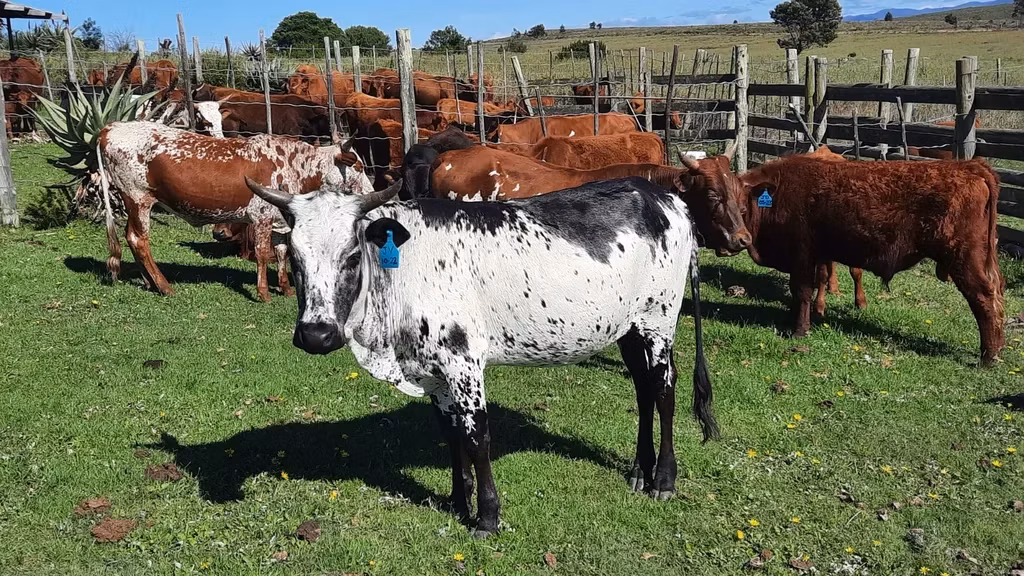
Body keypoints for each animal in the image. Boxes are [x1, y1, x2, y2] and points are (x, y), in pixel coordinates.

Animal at [97, 122, 374, 302]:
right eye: (359, 167)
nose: (372, 191)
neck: (294, 167)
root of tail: (109, 128)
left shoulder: (280, 219)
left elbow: (282, 251)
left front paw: (285, 288)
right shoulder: (262, 216)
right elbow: (262, 254)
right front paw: (263, 293)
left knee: (130, 236)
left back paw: (149, 282)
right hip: (138, 198)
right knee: (139, 239)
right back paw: (164, 286)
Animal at [242, 173, 721, 538]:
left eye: (353, 255)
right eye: (296, 258)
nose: (316, 334)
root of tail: (664, 196)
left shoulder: (464, 362)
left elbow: (477, 437)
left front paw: (487, 516)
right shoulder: (435, 373)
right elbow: (452, 434)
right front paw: (458, 499)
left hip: (659, 321)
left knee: (663, 391)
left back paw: (663, 479)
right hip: (628, 329)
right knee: (642, 391)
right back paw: (640, 470)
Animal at [710, 154, 1004, 365]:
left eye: (741, 206)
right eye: (717, 201)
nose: (733, 242)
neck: (779, 190)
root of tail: (969, 166)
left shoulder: (802, 254)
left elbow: (802, 291)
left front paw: (799, 330)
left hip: (964, 259)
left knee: (983, 298)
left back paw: (988, 356)